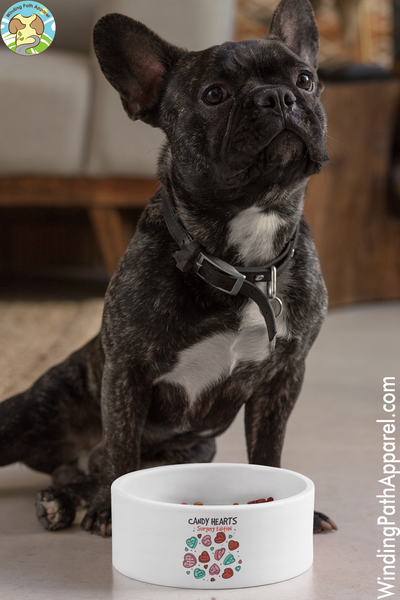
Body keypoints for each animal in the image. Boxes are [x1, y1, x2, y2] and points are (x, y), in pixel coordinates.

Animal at [0, 0, 334, 536]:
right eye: (214, 95)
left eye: (304, 79)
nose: (278, 96)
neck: (242, 261)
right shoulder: (126, 373)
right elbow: (121, 449)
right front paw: (110, 514)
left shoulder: (283, 378)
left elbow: (268, 449)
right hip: (31, 412)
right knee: (102, 460)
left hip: (198, 447)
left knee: (91, 471)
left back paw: (62, 500)